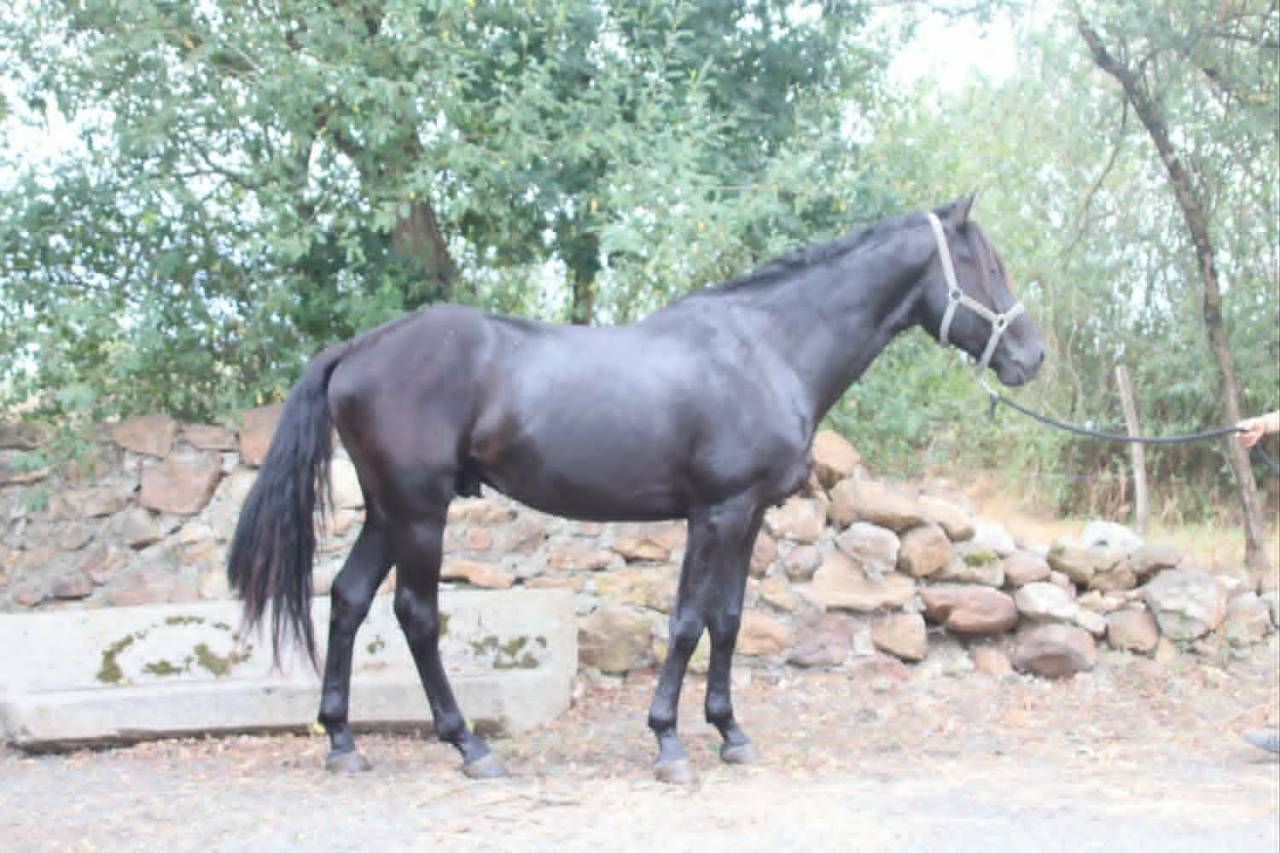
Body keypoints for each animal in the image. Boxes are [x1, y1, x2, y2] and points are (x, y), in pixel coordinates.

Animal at [227, 194, 1044, 784]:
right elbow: (686, 622)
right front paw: (668, 742)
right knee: (416, 615)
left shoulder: (747, 515)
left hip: (387, 513)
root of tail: (359, 348)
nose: (1031, 356)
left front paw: (730, 731)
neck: (767, 348)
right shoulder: (715, 512)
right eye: (986, 265)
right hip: (421, 513)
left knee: (348, 600)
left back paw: (342, 741)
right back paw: (469, 747)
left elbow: (729, 620)